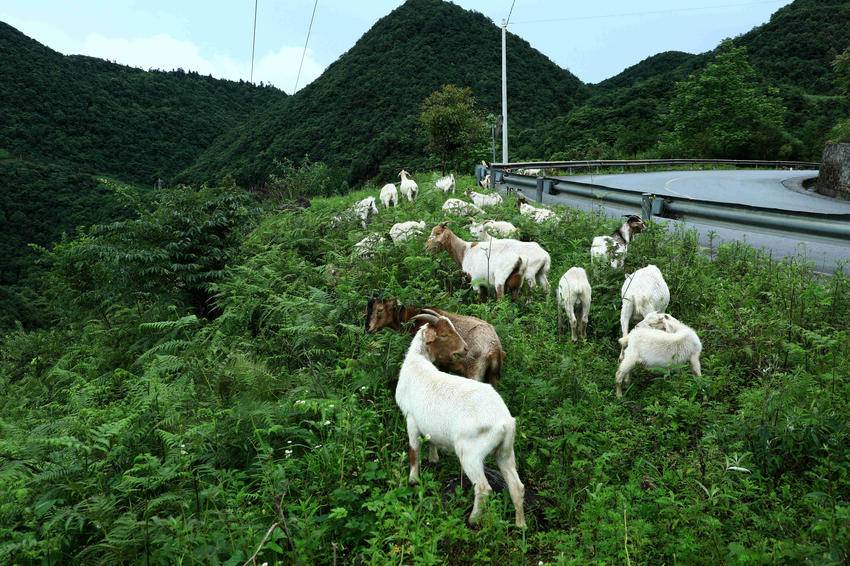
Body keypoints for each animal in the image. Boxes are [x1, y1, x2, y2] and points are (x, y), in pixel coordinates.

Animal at [396, 313, 526, 527]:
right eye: (444, 334)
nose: (465, 348)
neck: (417, 362)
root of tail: (505, 422)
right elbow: (431, 440)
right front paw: (433, 459)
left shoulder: (411, 419)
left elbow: (414, 451)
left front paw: (413, 480)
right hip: (505, 451)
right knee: (517, 486)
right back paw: (520, 525)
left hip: (471, 453)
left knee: (483, 488)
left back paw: (473, 520)